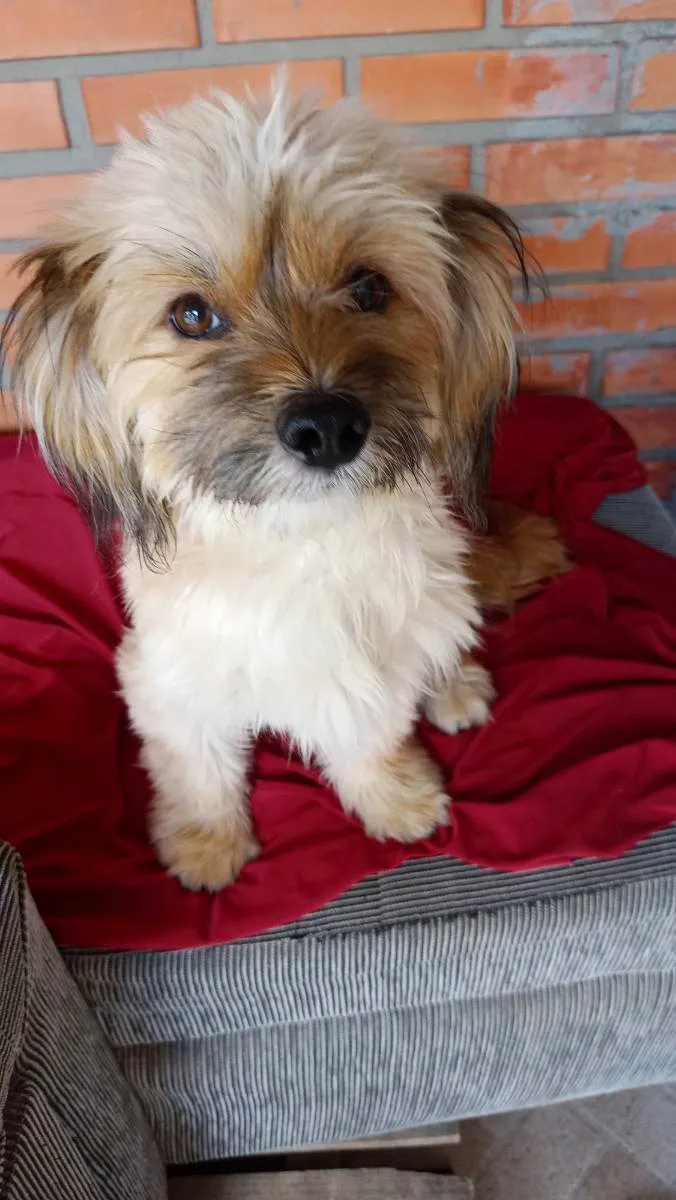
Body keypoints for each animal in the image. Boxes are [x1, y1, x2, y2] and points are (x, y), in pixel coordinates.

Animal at [3, 86, 566, 891]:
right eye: (192, 314)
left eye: (369, 288)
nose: (328, 427)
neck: (298, 538)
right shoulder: (166, 680)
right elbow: (197, 768)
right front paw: (205, 844)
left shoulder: (367, 673)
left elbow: (372, 738)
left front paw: (394, 800)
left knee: (447, 635)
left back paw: (455, 685)